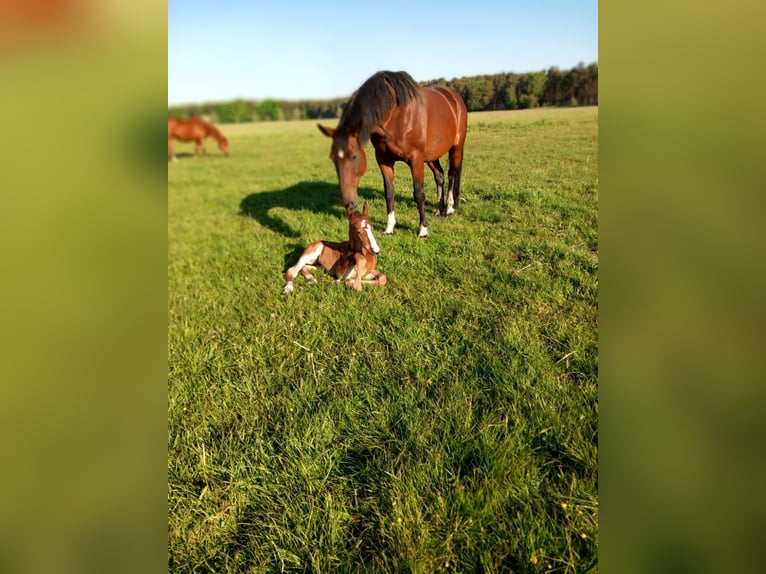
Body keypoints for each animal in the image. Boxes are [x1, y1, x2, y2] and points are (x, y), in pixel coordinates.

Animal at [318, 71, 467, 238]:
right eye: (333, 158)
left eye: (354, 156)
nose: (347, 202)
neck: (395, 114)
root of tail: (454, 97)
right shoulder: (384, 159)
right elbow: (389, 193)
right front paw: (389, 228)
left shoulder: (415, 159)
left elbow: (419, 193)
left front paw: (423, 229)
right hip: (431, 155)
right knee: (439, 176)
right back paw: (439, 209)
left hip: (456, 148)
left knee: (451, 174)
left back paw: (449, 208)